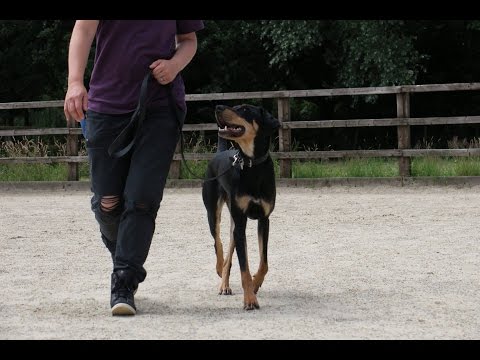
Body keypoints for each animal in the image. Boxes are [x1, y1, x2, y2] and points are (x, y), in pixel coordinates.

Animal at [201, 103, 280, 310]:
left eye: (244, 109)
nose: (218, 107)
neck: (252, 166)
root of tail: (219, 153)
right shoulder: (241, 221)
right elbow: (243, 267)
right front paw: (250, 299)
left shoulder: (264, 219)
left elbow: (264, 262)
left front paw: (256, 282)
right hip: (214, 212)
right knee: (219, 244)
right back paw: (221, 274)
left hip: (234, 224)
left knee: (229, 251)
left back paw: (225, 283)